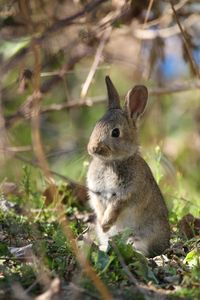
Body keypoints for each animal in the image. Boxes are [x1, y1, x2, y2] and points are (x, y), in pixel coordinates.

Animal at [86, 76, 170, 256]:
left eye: (115, 132)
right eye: (96, 125)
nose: (93, 148)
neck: (111, 162)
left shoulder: (125, 193)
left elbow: (115, 207)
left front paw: (105, 224)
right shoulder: (97, 195)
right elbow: (99, 207)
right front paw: (103, 224)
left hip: (141, 236)